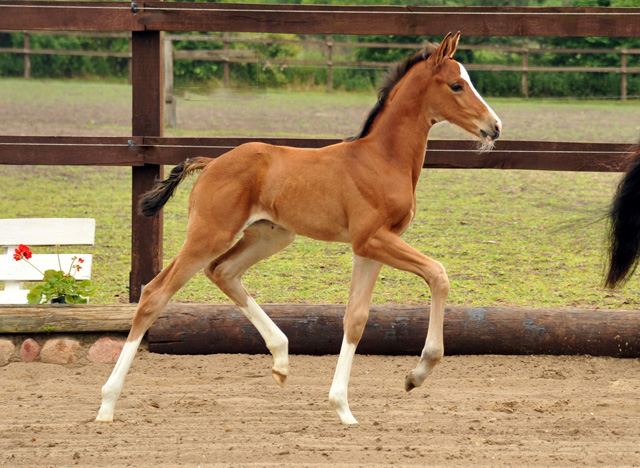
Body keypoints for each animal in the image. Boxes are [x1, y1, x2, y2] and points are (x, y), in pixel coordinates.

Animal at [97, 33, 502, 424]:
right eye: (456, 85)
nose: (495, 127)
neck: (382, 159)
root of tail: (210, 162)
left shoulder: (370, 247)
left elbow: (356, 318)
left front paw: (343, 407)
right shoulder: (371, 238)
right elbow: (438, 274)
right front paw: (416, 374)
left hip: (270, 235)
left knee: (223, 271)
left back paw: (281, 359)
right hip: (209, 235)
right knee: (155, 293)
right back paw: (107, 403)